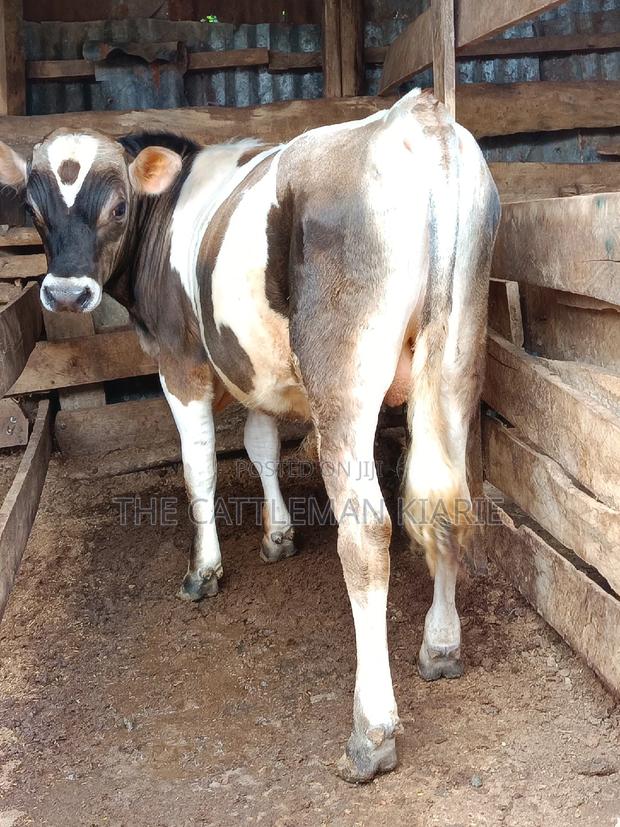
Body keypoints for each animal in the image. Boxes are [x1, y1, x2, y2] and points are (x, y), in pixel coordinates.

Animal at [0, 89, 500, 783]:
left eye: (118, 205)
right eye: (33, 209)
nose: (67, 293)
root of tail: (419, 117)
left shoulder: (180, 358)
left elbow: (200, 468)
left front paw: (204, 570)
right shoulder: (253, 366)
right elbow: (262, 446)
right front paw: (278, 534)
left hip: (345, 378)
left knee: (367, 533)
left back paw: (371, 732)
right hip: (457, 363)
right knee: (449, 500)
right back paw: (442, 646)